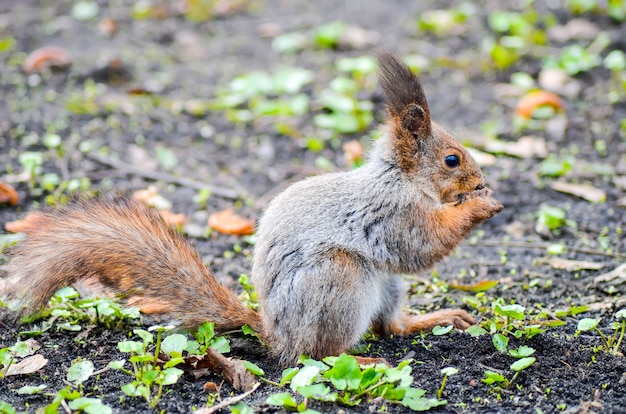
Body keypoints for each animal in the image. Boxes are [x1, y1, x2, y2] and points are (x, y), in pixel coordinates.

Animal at [0, 51, 500, 366]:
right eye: (452, 160)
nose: (480, 181)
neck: (401, 178)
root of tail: (276, 333)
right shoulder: (391, 214)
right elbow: (422, 245)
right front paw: (481, 207)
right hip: (339, 281)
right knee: (320, 355)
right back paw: (363, 360)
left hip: (386, 285)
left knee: (391, 328)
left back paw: (433, 319)